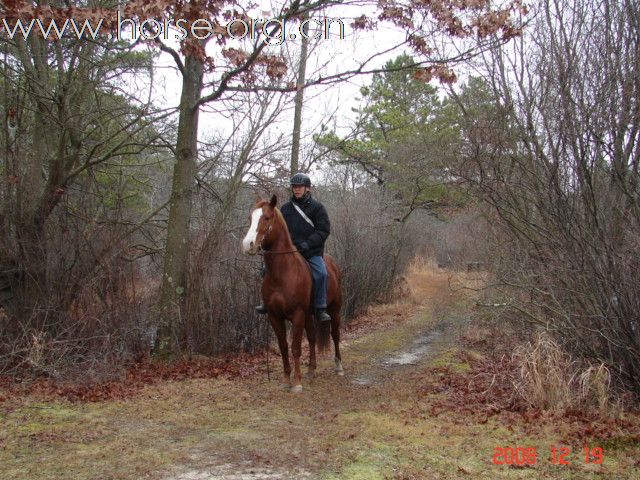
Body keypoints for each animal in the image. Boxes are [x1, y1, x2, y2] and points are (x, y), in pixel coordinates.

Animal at [241, 193, 342, 392]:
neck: (282, 273)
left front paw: (296, 383)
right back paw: (311, 370)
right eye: (251, 218)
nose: (248, 245)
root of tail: (333, 264)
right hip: (310, 315)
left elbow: (295, 347)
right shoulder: (274, 316)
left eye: (266, 218)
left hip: (334, 310)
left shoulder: (297, 315)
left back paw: (339, 366)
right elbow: (284, 347)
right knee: (312, 337)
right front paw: (286, 380)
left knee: (335, 335)